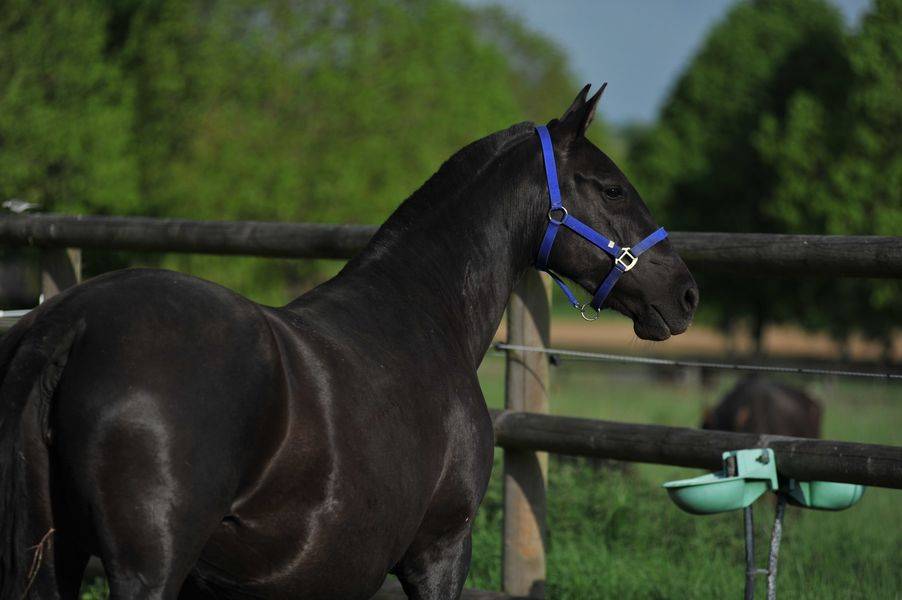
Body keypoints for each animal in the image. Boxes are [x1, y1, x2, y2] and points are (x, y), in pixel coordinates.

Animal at [0, 85, 698, 600]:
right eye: (611, 187)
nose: (686, 293)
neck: (424, 315)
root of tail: (70, 326)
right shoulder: (439, 550)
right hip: (147, 570)